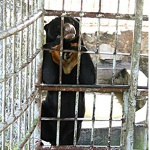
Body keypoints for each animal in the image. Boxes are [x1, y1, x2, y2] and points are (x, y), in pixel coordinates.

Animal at [41, 16, 95, 145]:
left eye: (71, 22)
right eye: (58, 26)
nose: (69, 28)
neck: (66, 47)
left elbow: (89, 79)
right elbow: (49, 78)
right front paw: (54, 43)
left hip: (75, 128)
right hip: (48, 116)